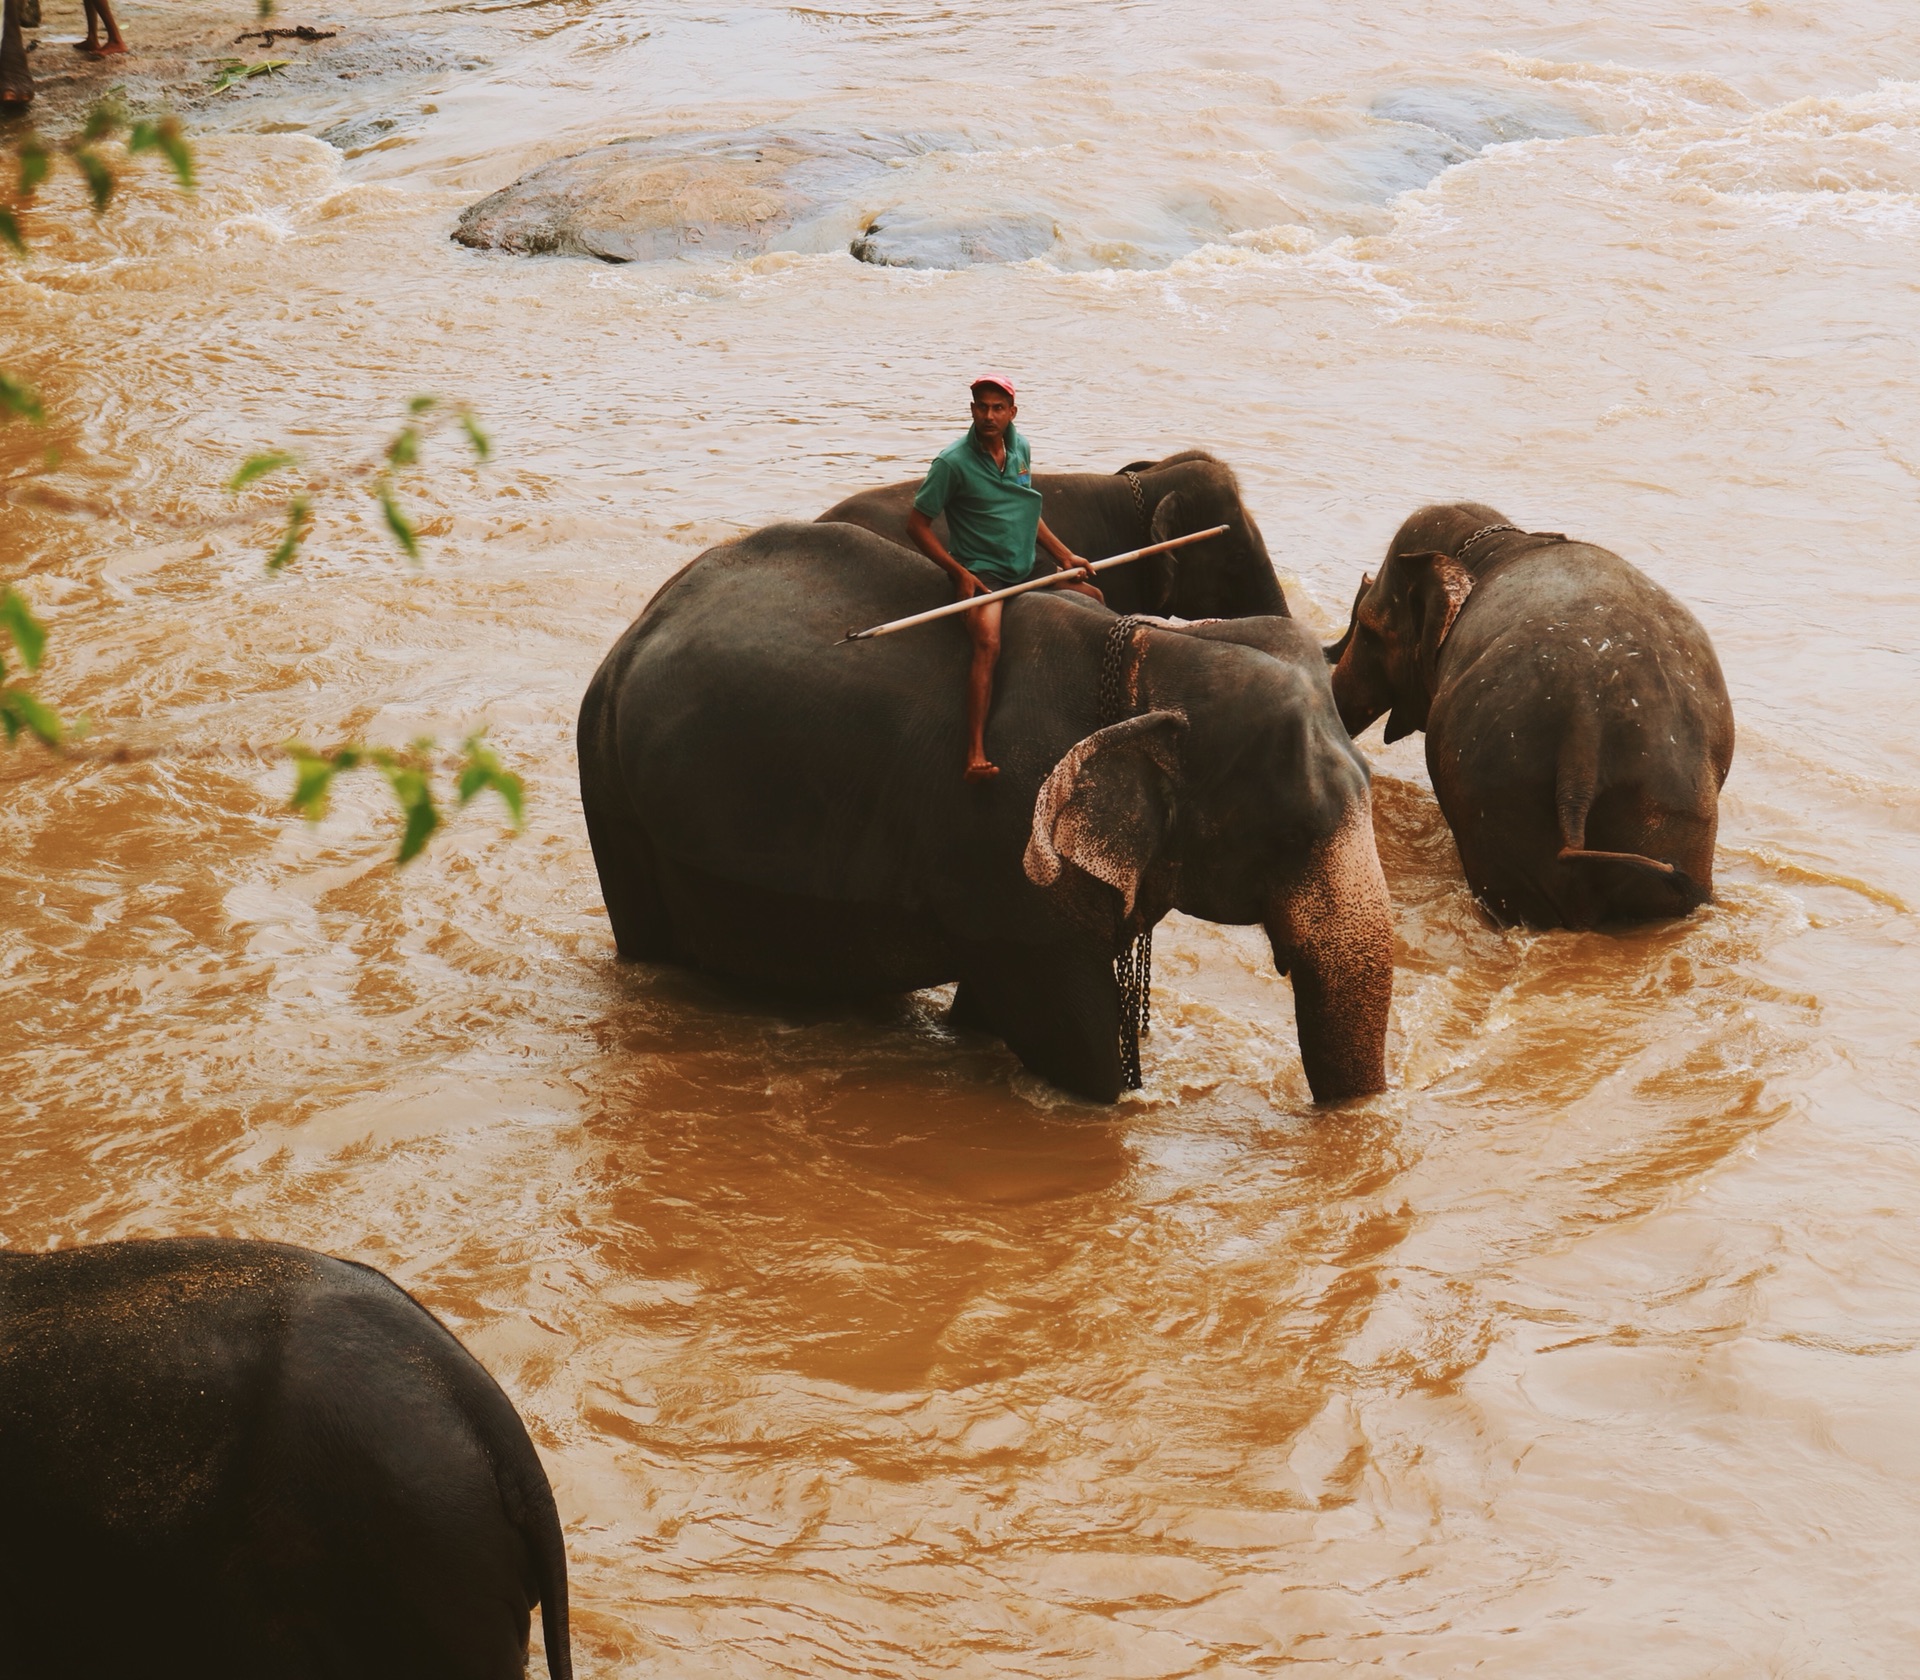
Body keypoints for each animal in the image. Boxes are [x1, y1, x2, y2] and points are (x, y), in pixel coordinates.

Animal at [572, 522, 1397, 1105]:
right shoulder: (1006, 855)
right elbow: (1073, 1042)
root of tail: (647, 616)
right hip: (610, 789)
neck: (1158, 652)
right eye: (1290, 833)